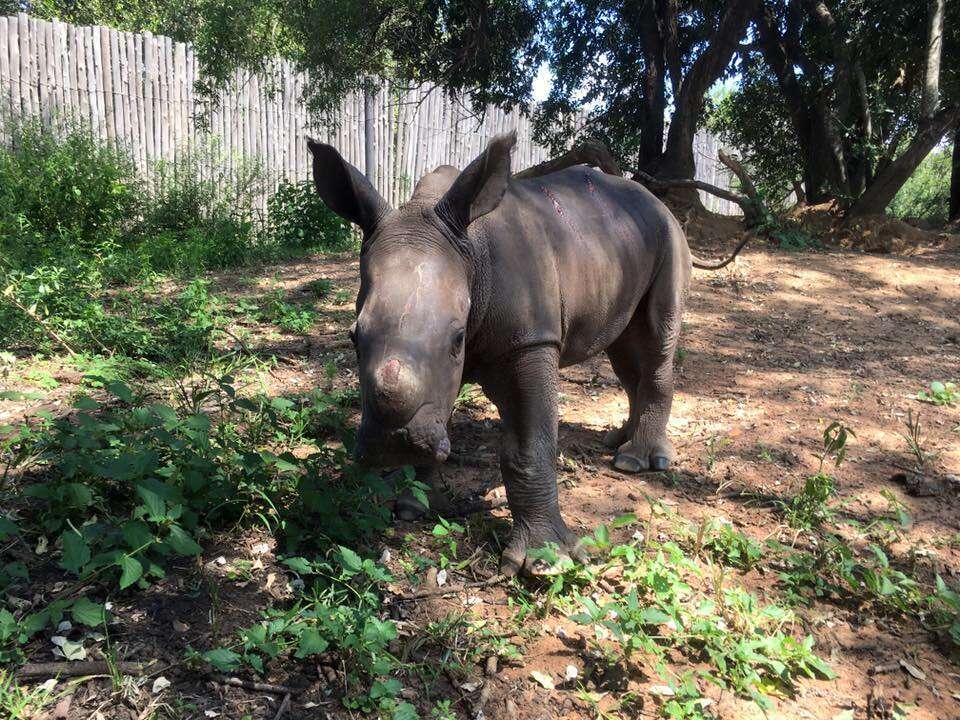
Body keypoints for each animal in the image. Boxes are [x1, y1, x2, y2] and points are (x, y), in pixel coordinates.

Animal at [314, 131, 688, 572]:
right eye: (353, 338)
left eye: (458, 339)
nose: (395, 443)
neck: (470, 251)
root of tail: (655, 200)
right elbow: (438, 402)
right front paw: (408, 504)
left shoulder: (529, 340)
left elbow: (529, 446)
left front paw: (548, 560)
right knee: (625, 349)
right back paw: (620, 442)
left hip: (668, 234)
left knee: (657, 338)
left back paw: (637, 462)